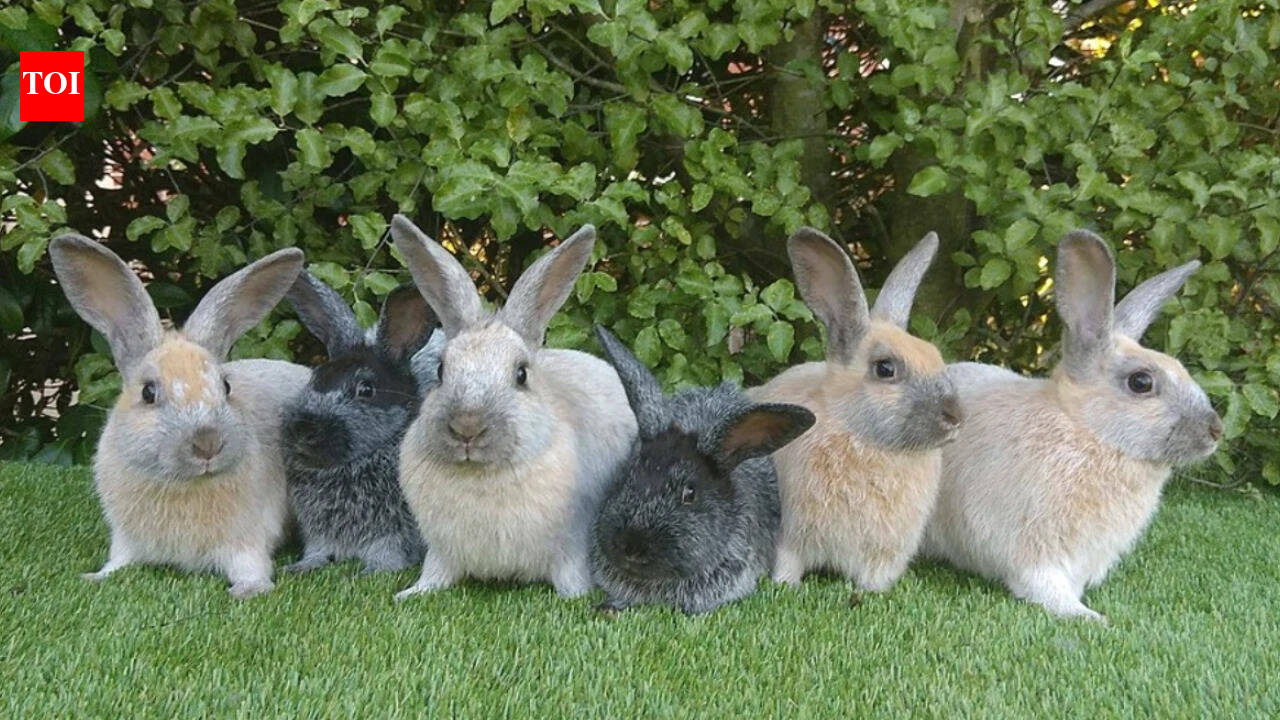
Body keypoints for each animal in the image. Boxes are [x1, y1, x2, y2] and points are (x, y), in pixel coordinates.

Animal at [49, 234, 310, 597]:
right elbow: (118, 562)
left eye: (226, 386)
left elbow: (251, 566)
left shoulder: (248, 541)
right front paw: (94, 577)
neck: (181, 483)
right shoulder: (126, 540)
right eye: (148, 392)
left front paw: (249, 590)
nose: (208, 443)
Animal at [280, 273, 438, 574]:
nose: (304, 431)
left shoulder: (396, 530)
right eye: (315, 377)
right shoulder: (319, 532)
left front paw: (373, 570)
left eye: (366, 390)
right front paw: (301, 566)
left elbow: (388, 551)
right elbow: (318, 549)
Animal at [388, 215, 638, 599]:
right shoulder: (441, 551)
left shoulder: (570, 547)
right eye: (441, 371)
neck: (482, 474)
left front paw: (579, 598)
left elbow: (571, 578)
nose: (467, 427)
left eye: (521, 374)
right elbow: (434, 574)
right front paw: (410, 594)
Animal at [748, 228, 962, 592]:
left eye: (936, 357)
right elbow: (788, 564)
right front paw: (786, 586)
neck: (860, 437)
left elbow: (873, 578)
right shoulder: (790, 539)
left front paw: (871, 593)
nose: (955, 416)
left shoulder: (883, 553)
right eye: (885, 368)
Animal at [920, 230, 1221, 621]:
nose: (1216, 430)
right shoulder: (1034, 552)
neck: (1088, 433)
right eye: (1141, 382)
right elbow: (1045, 587)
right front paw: (1090, 618)